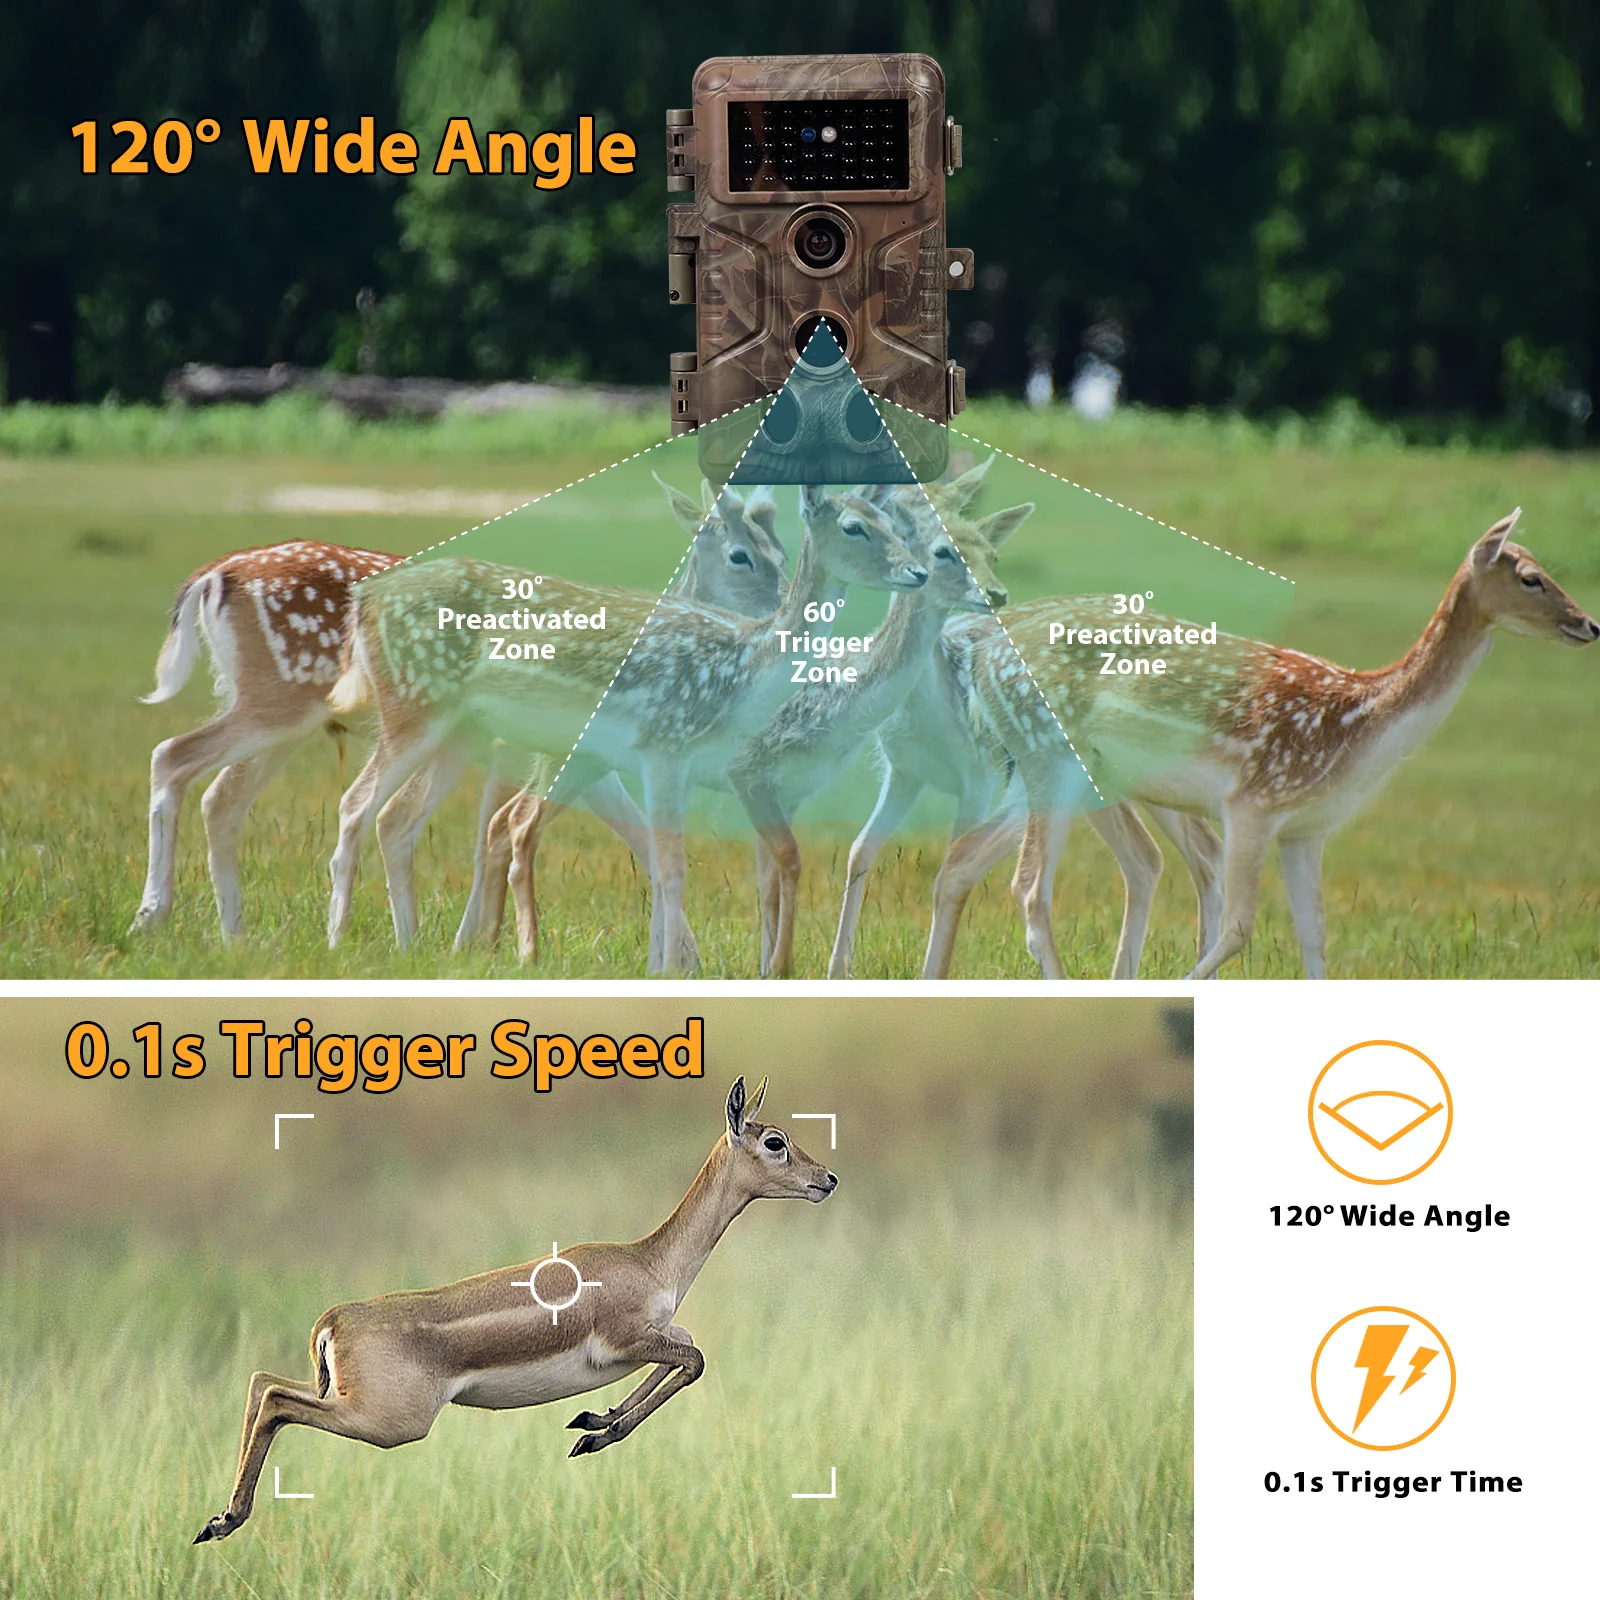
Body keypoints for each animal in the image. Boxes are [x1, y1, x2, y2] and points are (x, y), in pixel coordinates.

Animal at [192, 1076, 835, 1546]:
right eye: (775, 1141)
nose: (827, 1178)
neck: (650, 1261)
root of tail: (333, 1321)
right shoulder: (630, 1339)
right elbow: (694, 1360)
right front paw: (596, 1434)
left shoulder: (656, 1336)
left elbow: (682, 1356)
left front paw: (592, 1421)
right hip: (390, 1422)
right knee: (277, 1401)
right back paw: (224, 1522)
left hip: (340, 1395)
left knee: (262, 1383)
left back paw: (219, 1519)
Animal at [330, 486, 927, 972]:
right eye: (853, 526)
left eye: (891, 523)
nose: (916, 572)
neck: (741, 670)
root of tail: (364, 599)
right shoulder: (664, 746)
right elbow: (673, 865)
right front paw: (670, 971)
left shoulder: (683, 764)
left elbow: (670, 863)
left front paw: (667, 965)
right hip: (413, 704)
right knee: (357, 803)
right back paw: (340, 939)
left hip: (465, 731)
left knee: (399, 817)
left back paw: (413, 947)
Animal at [924, 509, 1598, 979]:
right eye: (1532, 578)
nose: (1589, 623)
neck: (1359, 727)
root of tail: (979, 647)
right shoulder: (1254, 800)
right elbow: (1239, 929)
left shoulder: (1307, 829)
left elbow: (1315, 939)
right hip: (1048, 755)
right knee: (1030, 890)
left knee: (977, 862)